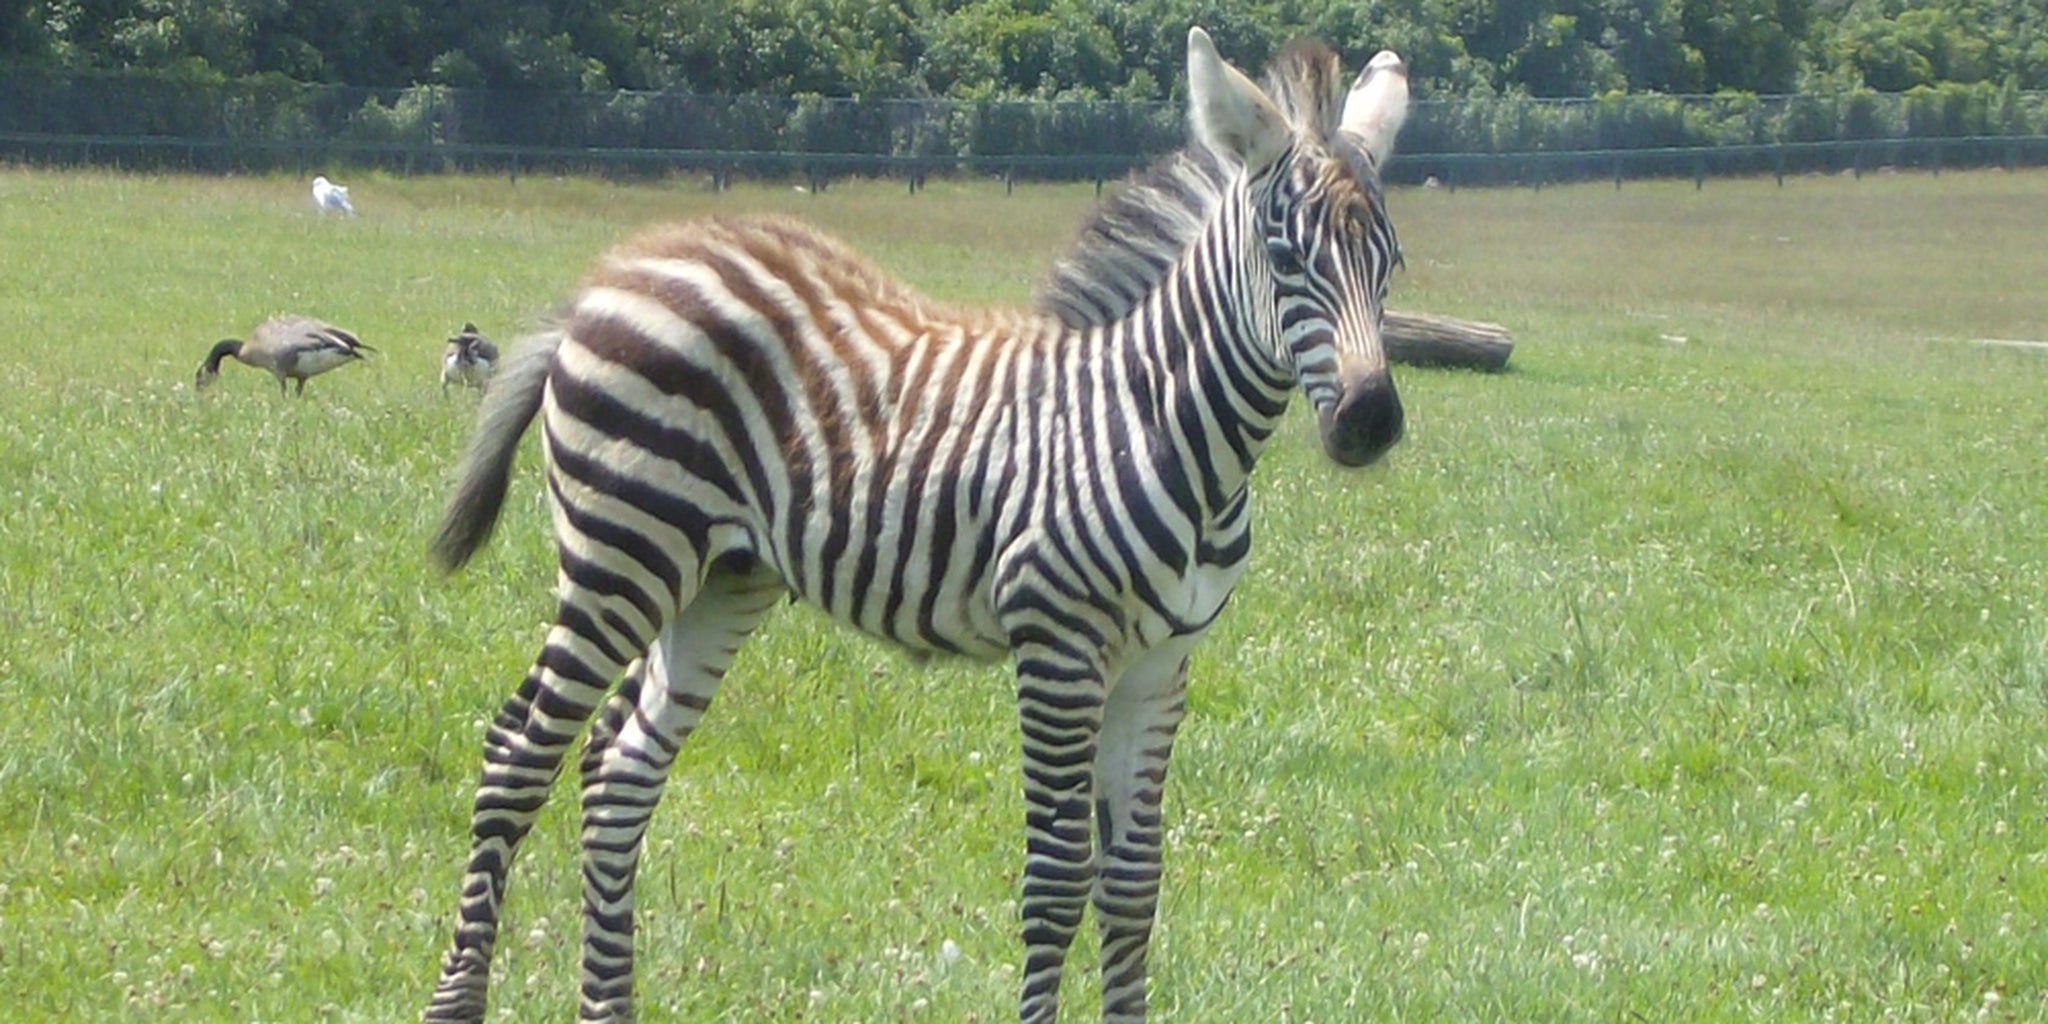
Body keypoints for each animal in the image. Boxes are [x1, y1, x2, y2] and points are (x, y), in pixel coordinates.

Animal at [421, 27, 1410, 1024]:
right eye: (1284, 257)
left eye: (1390, 262)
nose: (1371, 422)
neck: (1156, 422)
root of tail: (609, 277)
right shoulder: (1057, 644)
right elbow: (1057, 880)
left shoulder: (1159, 662)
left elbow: (1133, 885)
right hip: (619, 554)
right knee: (517, 753)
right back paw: (458, 998)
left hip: (719, 576)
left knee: (620, 768)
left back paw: (607, 1003)